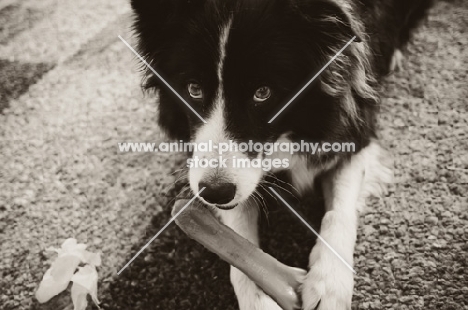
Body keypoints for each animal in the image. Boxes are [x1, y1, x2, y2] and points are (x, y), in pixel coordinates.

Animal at [130, 1, 434, 308]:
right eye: (193, 89)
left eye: (262, 93)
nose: (214, 192)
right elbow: (238, 236)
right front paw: (257, 297)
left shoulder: (354, 129)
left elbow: (338, 212)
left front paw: (329, 283)